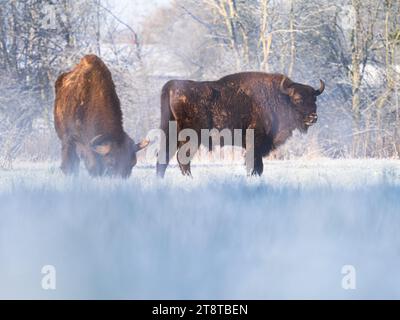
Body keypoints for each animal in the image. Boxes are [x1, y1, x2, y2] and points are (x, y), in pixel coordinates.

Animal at [155, 72, 324, 178]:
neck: (280, 97)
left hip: (170, 132)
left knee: (164, 156)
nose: (313, 117)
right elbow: (255, 164)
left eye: (314, 99)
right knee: (182, 158)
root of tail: (171, 86)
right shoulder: (255, 142)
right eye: (297, 99)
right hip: (190, 136)